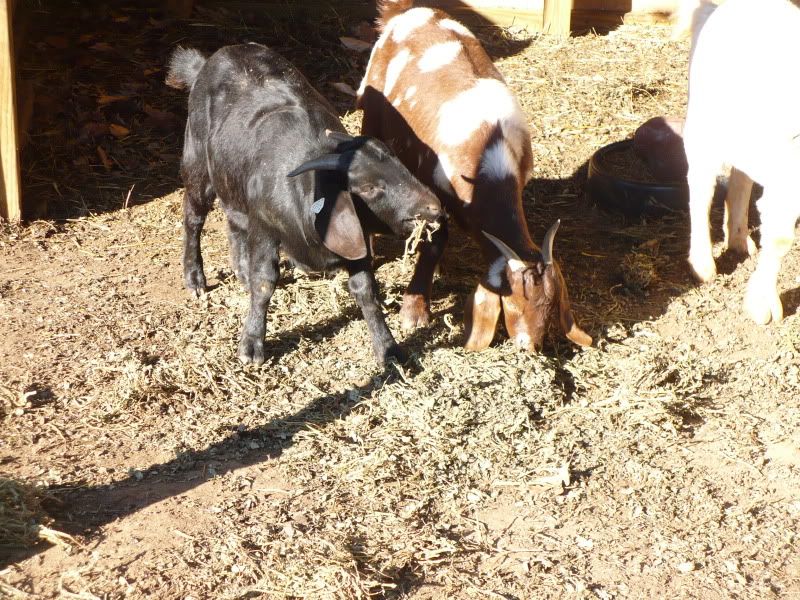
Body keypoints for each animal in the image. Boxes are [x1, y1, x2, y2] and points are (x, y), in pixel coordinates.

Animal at [166, 43, 442, 365]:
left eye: (399, 164)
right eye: (370, 187)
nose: (433, 207)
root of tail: (207, 61)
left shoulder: (355, 239)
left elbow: (366, 291)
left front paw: (389, 349)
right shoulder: (264, 226)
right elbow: (265, 281)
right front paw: (251, 345)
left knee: (234, 221)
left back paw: (240, 272)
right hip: (197, 164)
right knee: (193, 217)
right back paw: (195, 277)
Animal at [356, 0, 591, 351]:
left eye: (550, 306)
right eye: (512, 304)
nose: (529, 347)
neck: (488, 155)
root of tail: (406, 11)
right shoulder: (435, 193)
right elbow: (436, 240)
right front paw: (414, 311)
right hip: (372, 110)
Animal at [683, 0, 800, 324]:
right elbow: (780, 238)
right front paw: (762, 305)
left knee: (740, 179)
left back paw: (737, 238)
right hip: (702, 125)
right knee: (700, 188)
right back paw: (702, 263)